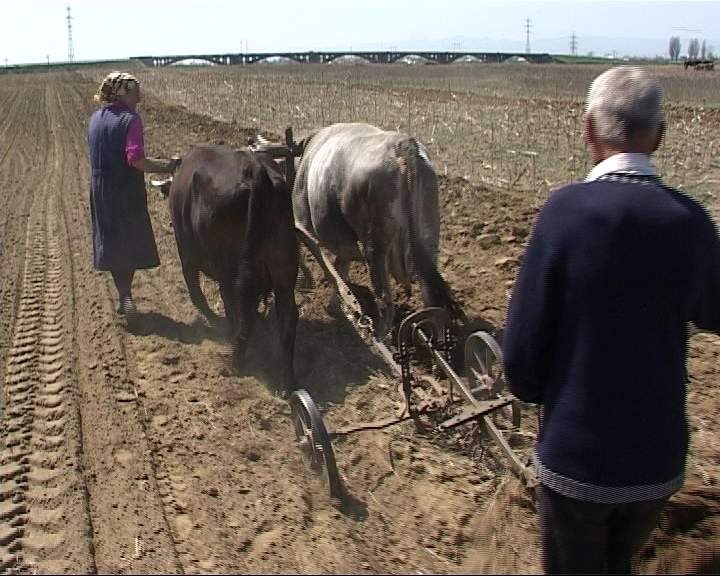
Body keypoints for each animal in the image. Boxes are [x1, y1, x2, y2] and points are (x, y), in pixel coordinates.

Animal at [168, 145, 299, 392]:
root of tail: (255, 169)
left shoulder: (186, 255)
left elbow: (197, 294)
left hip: (231, 269)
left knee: (240, 310)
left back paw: (235, 363)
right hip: (283, 269)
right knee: (287, 320)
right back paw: (285, 381)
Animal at [293, 122, 463, 337]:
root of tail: (403, 146)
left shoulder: (301, 223)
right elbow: (341, 270)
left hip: (375, 248)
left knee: (384, 298)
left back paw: (380, 334)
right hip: (428, 239)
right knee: (429, 297)